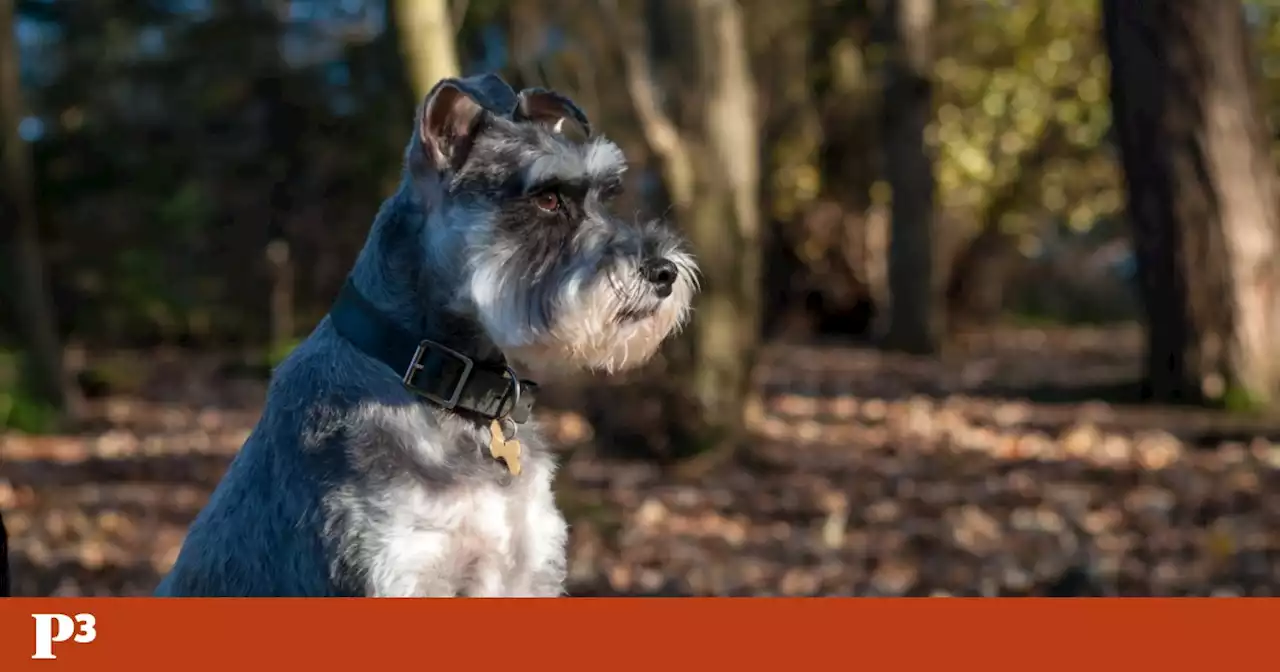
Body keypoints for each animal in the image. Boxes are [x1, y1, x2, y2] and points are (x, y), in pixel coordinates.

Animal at [157, 74, 701, 596]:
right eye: (547, 198)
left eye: (605, 195)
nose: (664, 272)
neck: (434, 379)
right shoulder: (400, 571)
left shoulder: (527, 568)